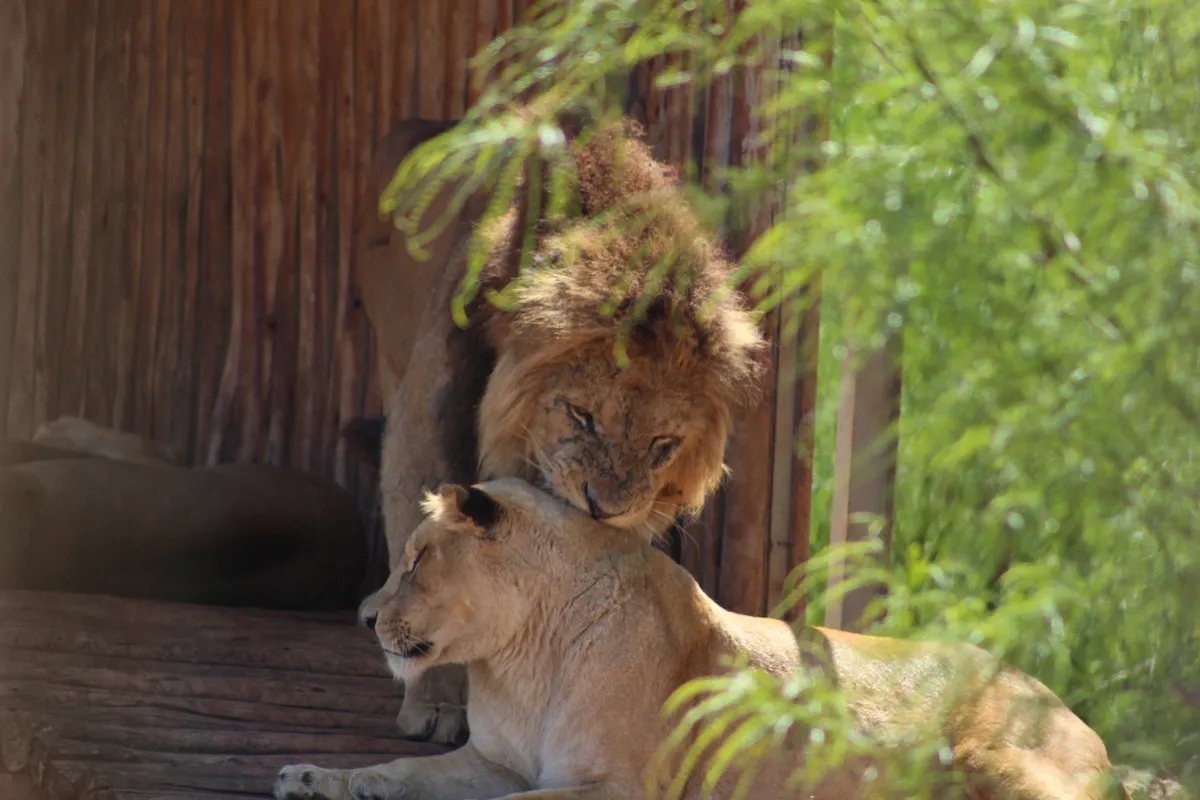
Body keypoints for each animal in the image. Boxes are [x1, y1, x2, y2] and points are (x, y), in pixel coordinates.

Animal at [275, 478, 1122, 800]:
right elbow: (399, 771)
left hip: (1003, 762)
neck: (516, 661)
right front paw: (317, 777)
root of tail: (1060, 701)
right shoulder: (493, 760)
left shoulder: (616, 787)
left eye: (419, 559)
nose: (367, 618)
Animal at [358, 116, 764, 744]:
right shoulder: (419, 436)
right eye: (582, 414)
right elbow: (422, 562)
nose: (605, 509)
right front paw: (439, 701)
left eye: (663, 445)